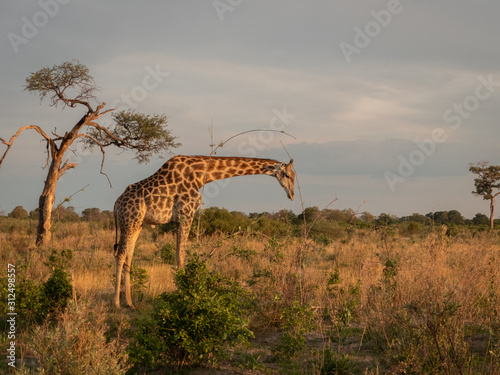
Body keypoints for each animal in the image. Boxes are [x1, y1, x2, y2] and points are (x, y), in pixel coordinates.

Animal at [112, 156, 292, 308]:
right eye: (288, 175)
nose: (292, 194)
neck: (200, 175)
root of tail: (116, 204)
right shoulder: (186, 213)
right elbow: (181, 256)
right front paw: (182, 296)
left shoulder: (180, 218)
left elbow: (178, 255)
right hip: (129, 220)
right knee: (120, 254)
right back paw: (116, 303)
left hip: (138, 224)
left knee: (128, 256)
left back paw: (130, 303)